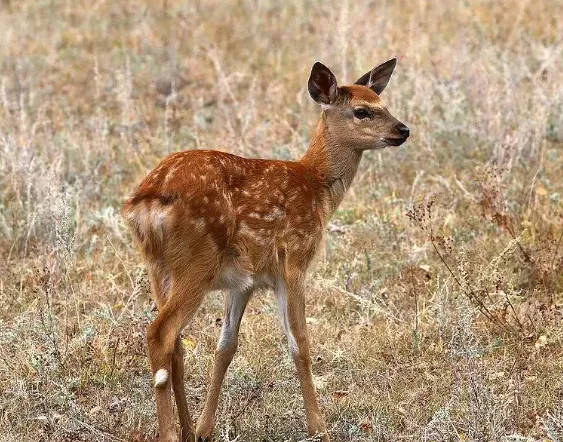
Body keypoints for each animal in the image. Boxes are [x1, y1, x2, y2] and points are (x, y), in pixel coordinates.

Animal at [122, 57, 410, 442]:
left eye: (384, 103)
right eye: (362, 111)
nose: (403, 130)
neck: (316, 186)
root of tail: (148, 199)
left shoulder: (244, 281)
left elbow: (225, 346)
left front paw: (205, 428)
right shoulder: (294, 261)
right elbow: (300, 342)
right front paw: (319, 428)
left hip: (158, 266)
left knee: (176, 344)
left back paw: (186, 429)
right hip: (196, 262)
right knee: (160, 333)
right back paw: (169, 433)